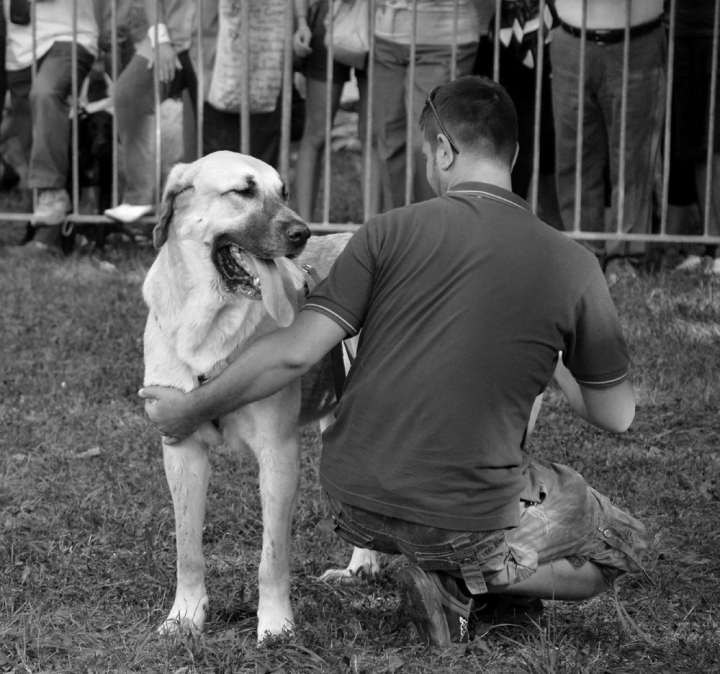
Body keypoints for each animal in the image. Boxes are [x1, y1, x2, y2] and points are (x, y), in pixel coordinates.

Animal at [141, 151, 376, 640]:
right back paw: (360, 567)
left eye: (283, 192)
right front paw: (185, 616)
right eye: (243, 191)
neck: (208, 326)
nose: (302, 234)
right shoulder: (181, 449)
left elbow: (272, 558)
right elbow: (187, 550)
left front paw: (276, 624)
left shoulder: (279, 452)